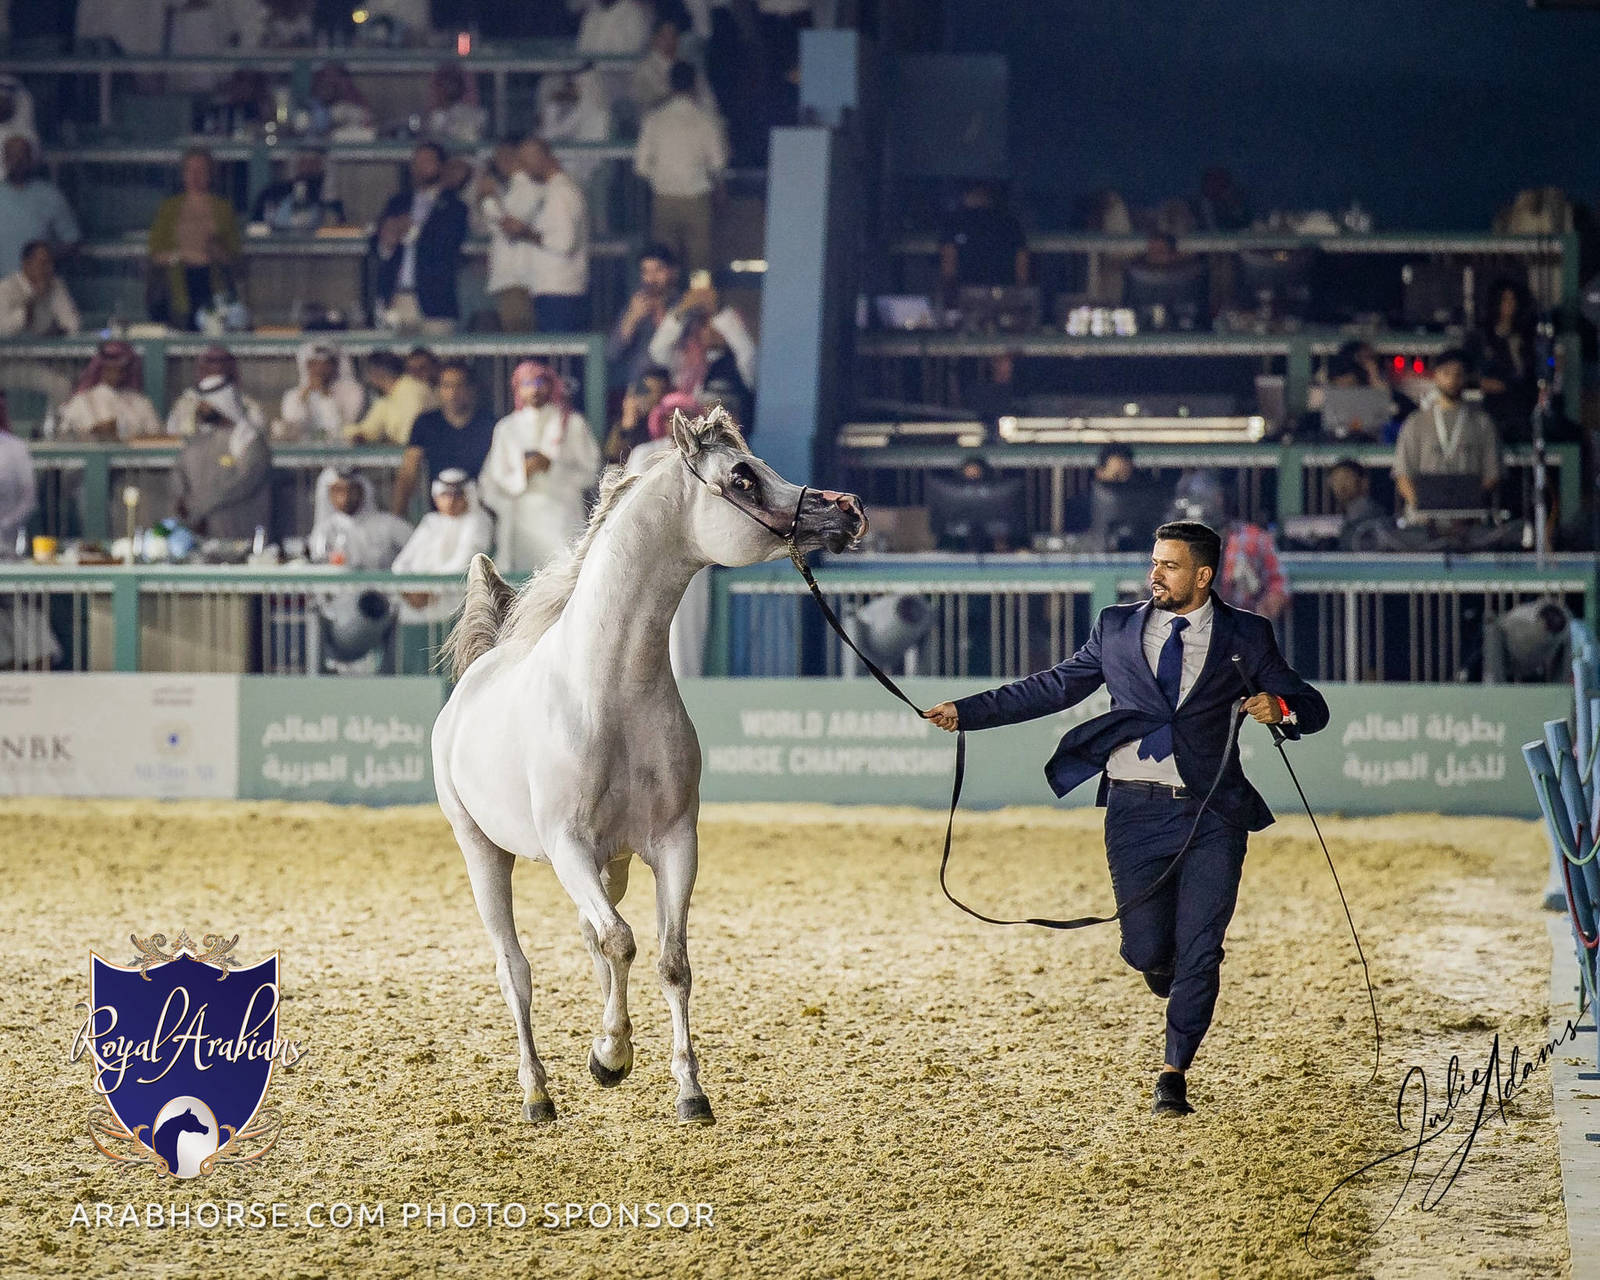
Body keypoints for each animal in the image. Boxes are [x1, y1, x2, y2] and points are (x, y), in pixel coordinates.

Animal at [433, 407, 866, 1125]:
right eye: (741, 477)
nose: (848, 510)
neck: (609, 692)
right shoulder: (570, 847)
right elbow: (622, 943)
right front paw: (611, 1055)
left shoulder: (673, 844)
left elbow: (668, 960)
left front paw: (683, 1087)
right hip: (484, 854)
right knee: (515, 967)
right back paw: (537, 1092)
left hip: (612, 867)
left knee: (590, 937)